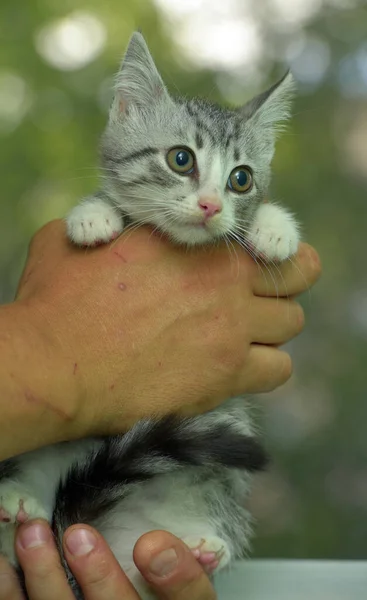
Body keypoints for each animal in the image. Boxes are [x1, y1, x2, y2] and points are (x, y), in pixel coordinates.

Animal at [0, 34, 300, 600]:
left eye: (241, 179)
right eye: (181, 159)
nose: (210, 206)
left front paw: (275, 228)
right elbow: (106, 202)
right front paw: (93, 215)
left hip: (217, 457)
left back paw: (203, 547)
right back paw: (17, 499)